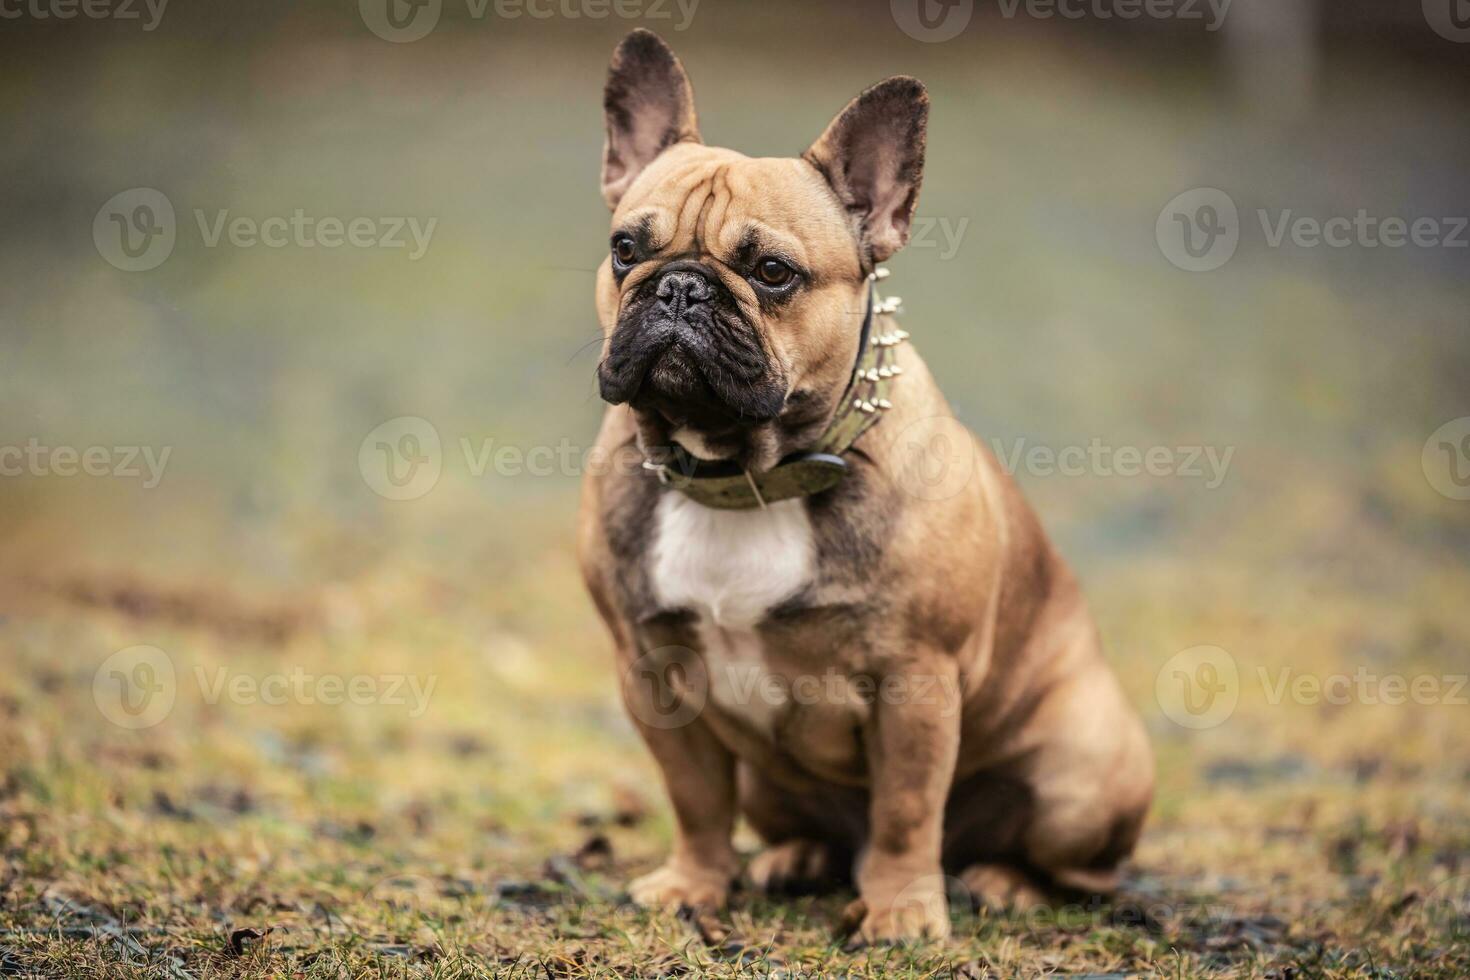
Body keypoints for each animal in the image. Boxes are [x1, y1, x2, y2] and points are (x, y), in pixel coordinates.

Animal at [579, 30, 1152, 946]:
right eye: (626, 249)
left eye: (773, 271)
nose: (678, 286)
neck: (744, 474)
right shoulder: (652, 670)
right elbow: (695, 797)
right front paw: (694, 885)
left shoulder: (915, 683)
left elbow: (908, 809)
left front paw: (901, 910)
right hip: (772, 783)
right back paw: (797, 857)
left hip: (1084, 774)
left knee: (1074, 865)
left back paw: (1006, 882)